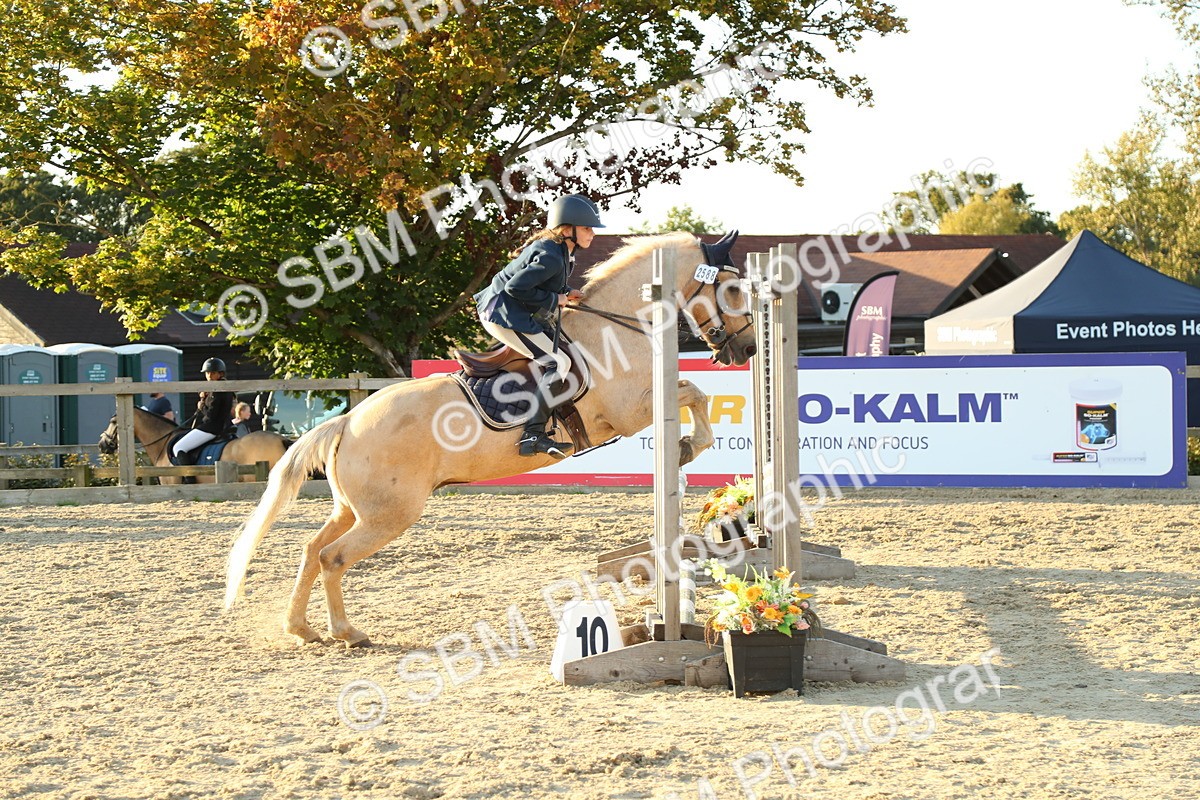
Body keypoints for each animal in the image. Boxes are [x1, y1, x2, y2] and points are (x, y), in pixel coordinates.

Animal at [224, 231, 758, 646]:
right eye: (732, 288)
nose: (748, 349)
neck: (618, 325)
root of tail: (348, 421)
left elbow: (695, 393)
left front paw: (688, 446)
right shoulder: (631, 413)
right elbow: (694, 392)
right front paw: (689, 445)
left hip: (353, 508)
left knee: (311, 550)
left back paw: (300, 628)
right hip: (389, 514)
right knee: (332, 558)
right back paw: (346, 632)